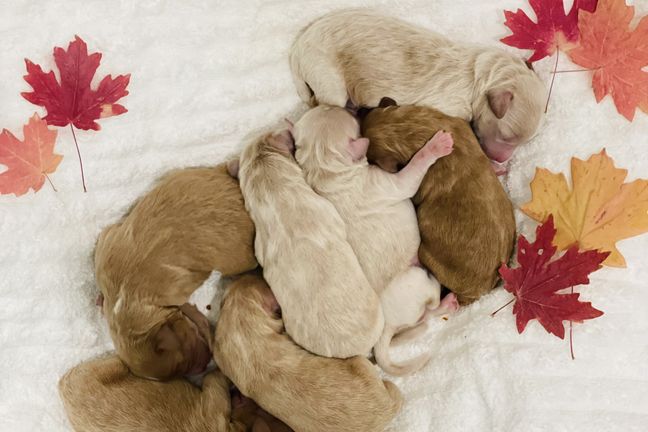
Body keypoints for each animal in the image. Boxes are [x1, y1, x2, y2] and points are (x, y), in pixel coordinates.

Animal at [292, 105, 457, 376]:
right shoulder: (389, 184)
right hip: (417, 279)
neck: (325, 171)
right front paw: (436, 146)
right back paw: (447, 302)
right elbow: (411, 176)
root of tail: (384, 331)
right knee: (428, 311)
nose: (346, 106)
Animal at [361, 99, 516, 304]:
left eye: (371, 159)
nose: (359, 110)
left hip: (427, 255)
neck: (408, 127)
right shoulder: (462, 125)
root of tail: (477, 293)